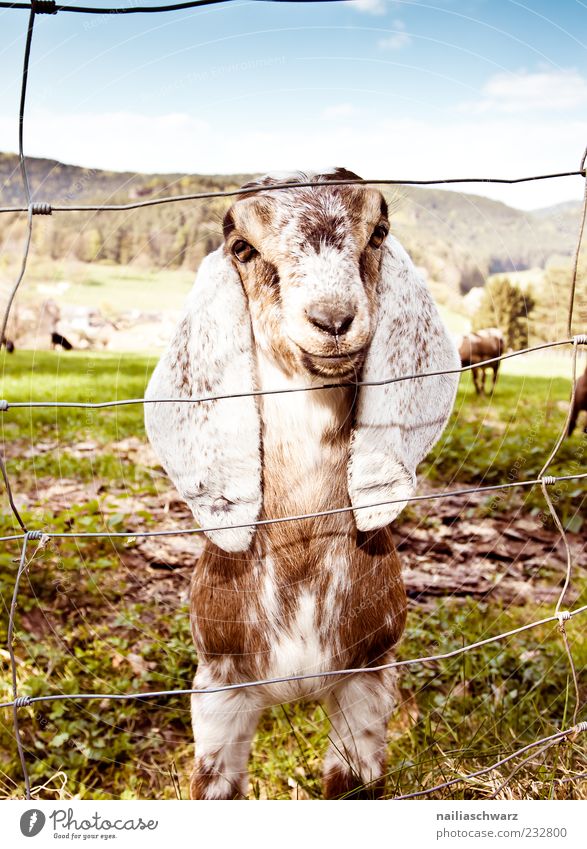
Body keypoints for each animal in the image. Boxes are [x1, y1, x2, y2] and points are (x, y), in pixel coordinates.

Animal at [146, 169, 460, 800]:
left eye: (378, 231)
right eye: (243, 247)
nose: (333, 319)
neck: (301, 556)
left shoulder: (369, 677)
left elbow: (350, 784)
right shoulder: (218, 688)